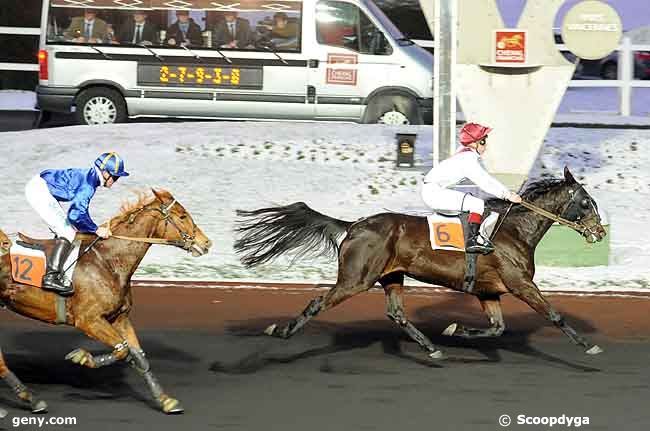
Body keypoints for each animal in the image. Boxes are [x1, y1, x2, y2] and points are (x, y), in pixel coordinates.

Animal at [0, 189, 211, 416]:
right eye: (182, 216)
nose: (207, 243)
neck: (108, 261)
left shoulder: (120, 318)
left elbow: (139, 356)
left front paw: (165, 400)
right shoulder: (89, 320)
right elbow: (123, 350)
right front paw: (82, 357)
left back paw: (29, 399)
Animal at [237, 169, 608, 362]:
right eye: (586, 202)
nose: (600, 232)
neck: (514, 230)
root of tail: (353, 225)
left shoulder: (489, 292)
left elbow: (497, 327)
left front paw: (455, 330)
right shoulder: (520, 284)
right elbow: (554, 314)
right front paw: (588, 345)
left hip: (391, 276)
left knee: (397, 313)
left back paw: (431, 348)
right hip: (356, 279)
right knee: (318, 302)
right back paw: (282, 331)